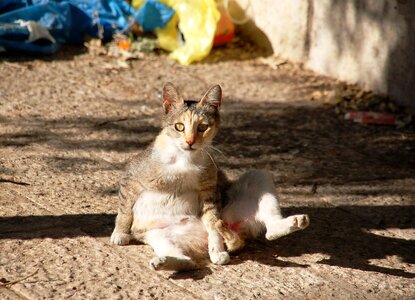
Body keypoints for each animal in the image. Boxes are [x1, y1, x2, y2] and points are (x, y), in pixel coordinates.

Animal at [110, 82, 308, 272]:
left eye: (202, 127)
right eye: (179, 126)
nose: (190, 142)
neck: (184, 160)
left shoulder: (209, 192)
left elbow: (212, 222)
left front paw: (218, 250)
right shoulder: (131, 176)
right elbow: (125, 211)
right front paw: (120, 233)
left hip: (258, 176)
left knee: (266, 228)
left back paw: (288, 224)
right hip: (159, 235)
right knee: (188, 262)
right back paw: (164, 262)